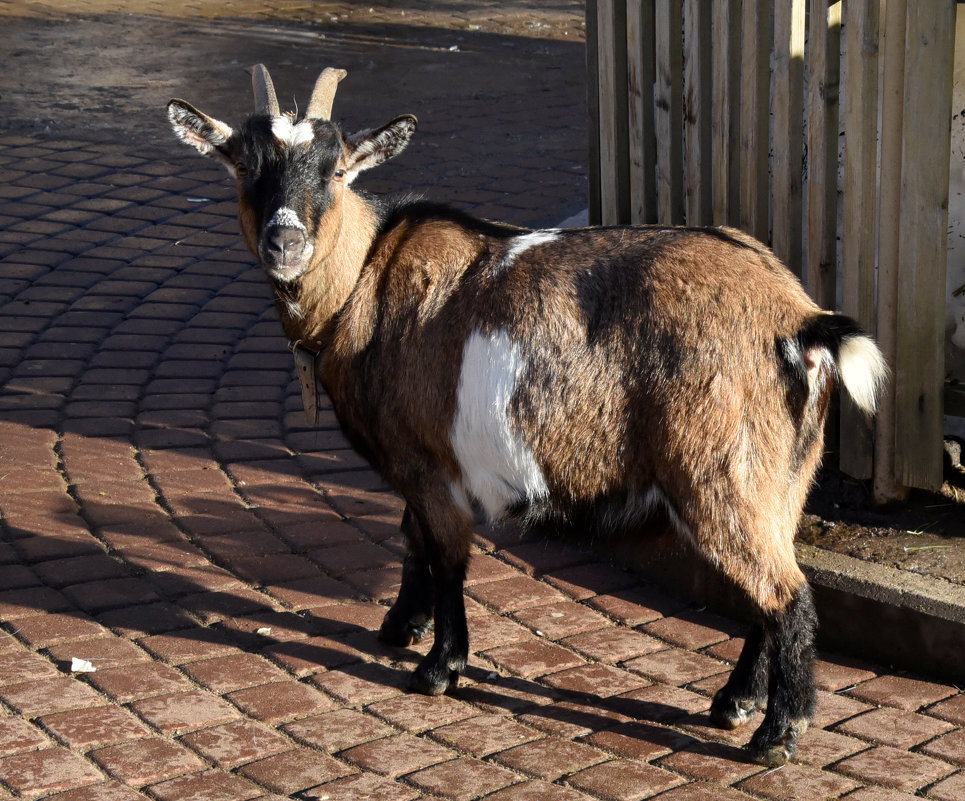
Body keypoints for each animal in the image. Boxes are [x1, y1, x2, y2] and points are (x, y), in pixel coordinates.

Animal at [168, 65, 888, 764]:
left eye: (337, 169)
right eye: (242, 164)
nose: (284, 242)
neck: (364, 282)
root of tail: (799, 318)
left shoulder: (428, 463)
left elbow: (444, 555)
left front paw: (438, 667)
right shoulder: (417, 467)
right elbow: (410, 537)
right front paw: (401, 626)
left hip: (720, 471)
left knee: (785, 595)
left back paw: (776, 734)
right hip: (783, 476)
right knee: (768, 587)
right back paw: (734, 702)